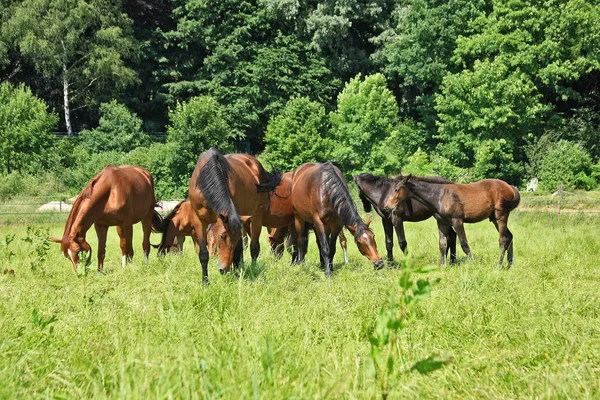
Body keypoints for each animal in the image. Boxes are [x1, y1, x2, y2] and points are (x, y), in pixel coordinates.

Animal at [384, 176, 520, 268]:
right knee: (509, 236)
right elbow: (442, 244)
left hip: (501, 216)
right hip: (494, 219)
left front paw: (473, 264)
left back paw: (499, 266)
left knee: (503, 239)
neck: (440, 196)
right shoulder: (442, 223)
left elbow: (464, 244)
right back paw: (510, 265)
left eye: (396, 190)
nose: (387, 207)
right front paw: (443, 266)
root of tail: (511, 187)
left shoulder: (457, 221)